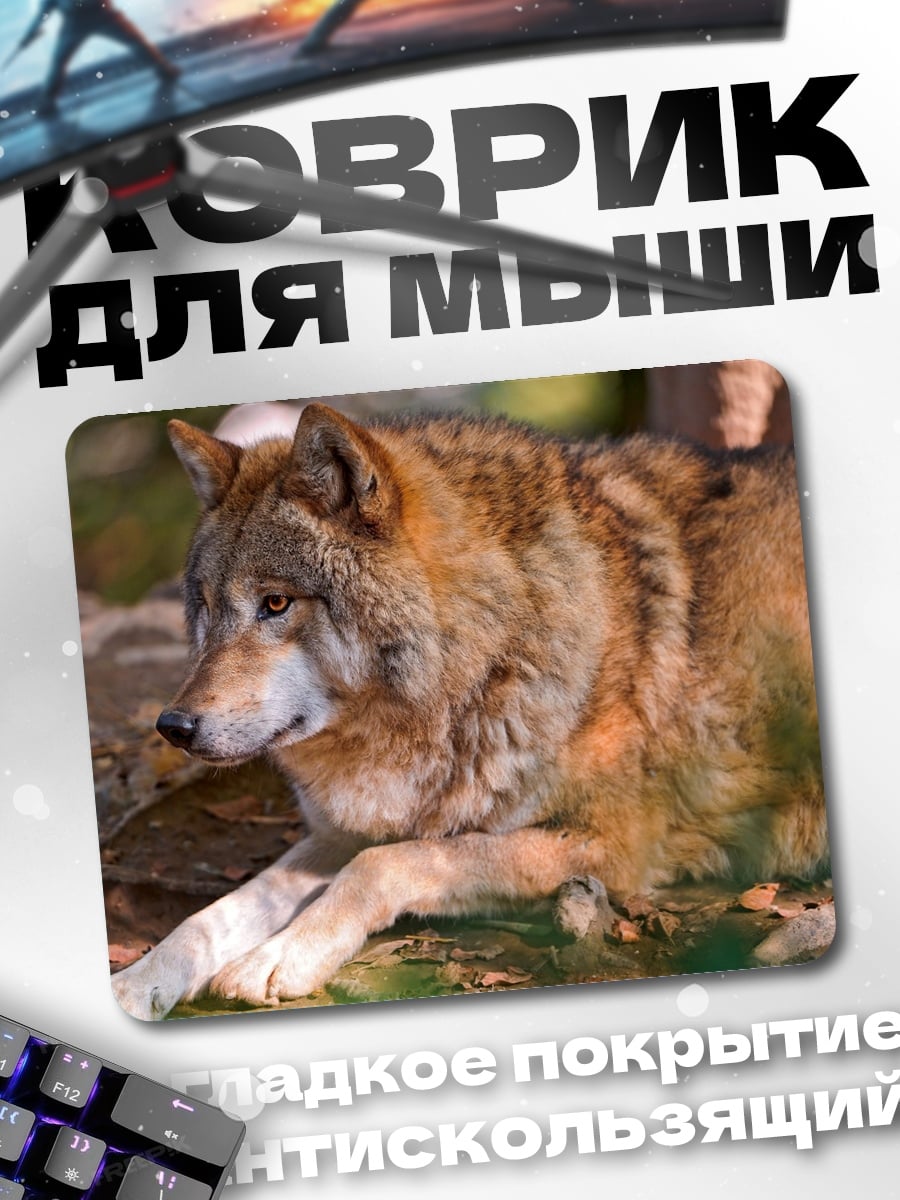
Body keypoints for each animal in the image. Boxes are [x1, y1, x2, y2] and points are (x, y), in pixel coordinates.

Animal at [111, 402, 827, 1020]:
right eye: (207, 605)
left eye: (277, 603)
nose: (173, 727)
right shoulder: (342, 831)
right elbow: (213, 914)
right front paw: (136, 982)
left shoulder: (614, 844)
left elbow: (385, 865)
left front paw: (281, 956)